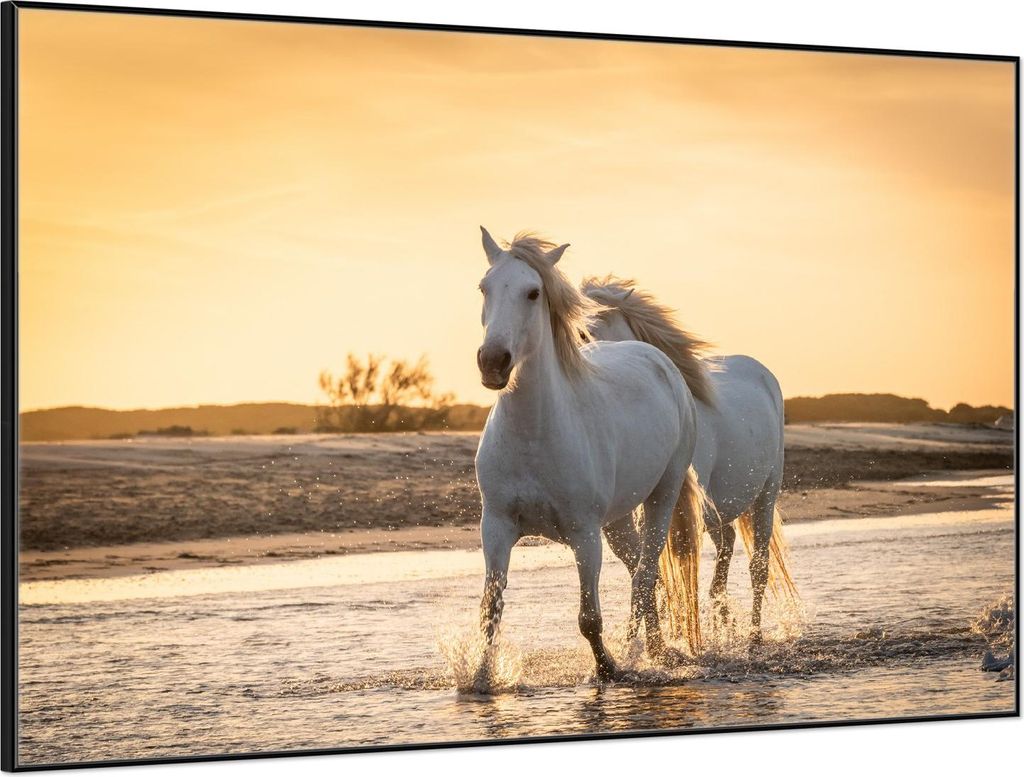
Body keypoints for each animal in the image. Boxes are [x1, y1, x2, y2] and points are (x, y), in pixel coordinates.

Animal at [473, 229, 706, 681]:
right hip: (616, 521)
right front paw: (478, 680)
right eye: (484, 287)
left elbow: (589, 618)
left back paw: (646, 653)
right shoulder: (496, 526)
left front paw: (608, 670)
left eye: (533, 292)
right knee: (641, 571)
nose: (493, 362)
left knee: (646, 574)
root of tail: (658, 360)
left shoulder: (584, 534)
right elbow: (490, 611)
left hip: (661, 496)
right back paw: (651, 647)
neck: (534, 435)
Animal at [582, 276, 798, 644]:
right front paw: (647, 641)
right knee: (726, 549)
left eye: (592, 328)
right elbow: (647, 573)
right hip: (721, 509)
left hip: (766, 494)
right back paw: (725, 624)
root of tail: (762, 372)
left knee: (758, 566)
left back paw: (754, 636)